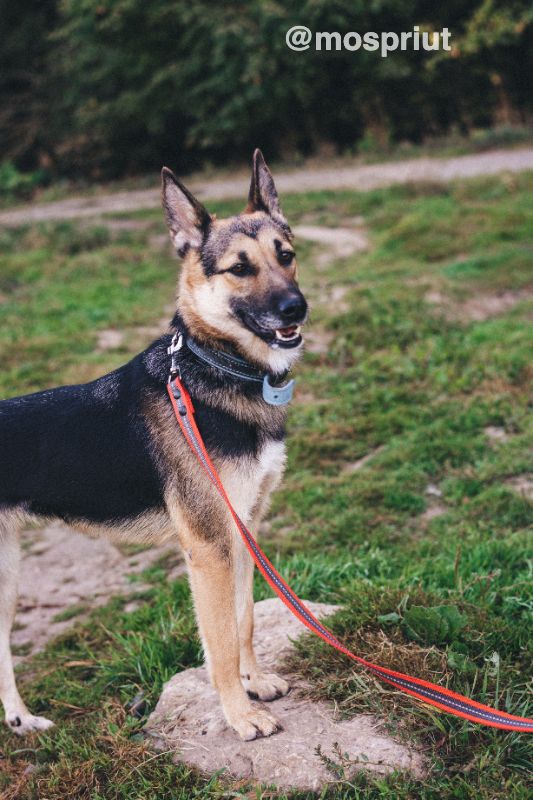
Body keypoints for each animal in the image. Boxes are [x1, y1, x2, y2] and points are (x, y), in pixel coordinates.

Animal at [0, 152, 308, 744]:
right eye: (239, 269)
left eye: (286, 256)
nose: (296, 308)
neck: (214, 366)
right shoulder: (208, 549)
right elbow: (220, 643)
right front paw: (239, 715)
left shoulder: (242, 532)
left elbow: (245, 620)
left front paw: (256, 683)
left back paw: (21, 720)